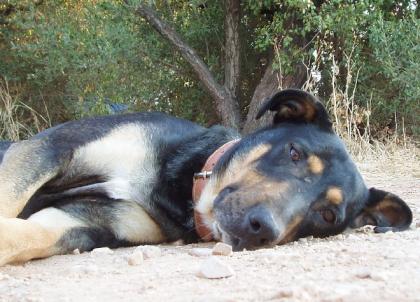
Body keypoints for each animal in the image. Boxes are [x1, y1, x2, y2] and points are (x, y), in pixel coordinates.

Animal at [0, 89, 412, 264]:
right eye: (294, 152)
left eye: (328, 216)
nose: (261, 230)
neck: (178, 185)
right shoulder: (50, 149)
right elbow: (10, 198)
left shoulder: (77, 222)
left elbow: (24, 235)